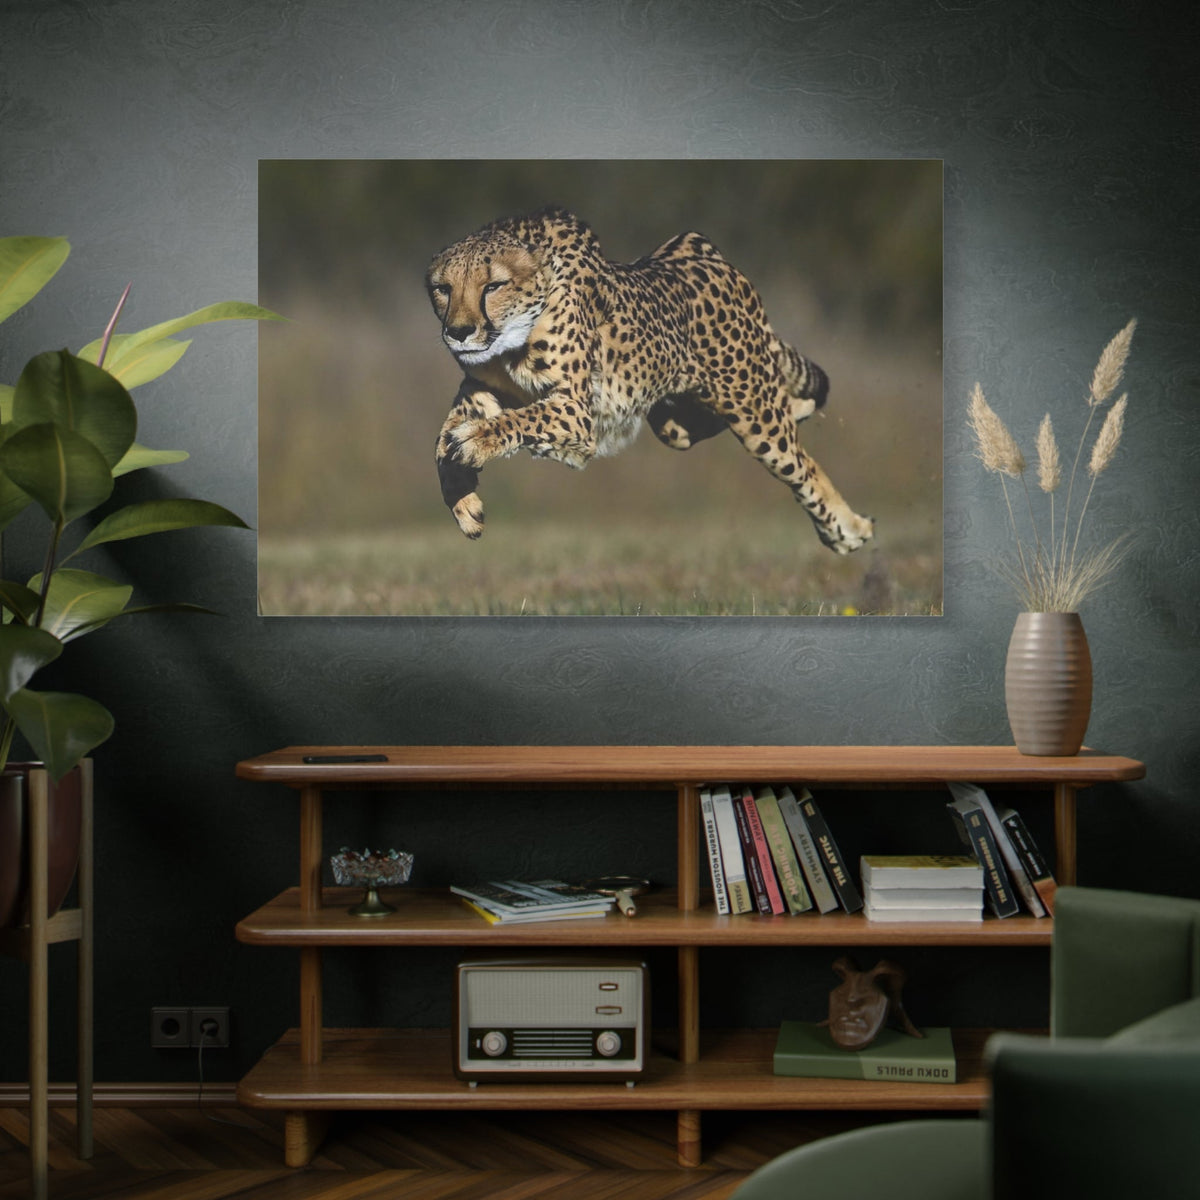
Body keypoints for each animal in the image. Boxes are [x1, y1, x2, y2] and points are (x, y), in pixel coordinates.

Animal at [425, 205, 874, 554]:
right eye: (443, 289)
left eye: (493, 286)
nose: (459, 332)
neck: (510, 340)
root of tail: (702, 249)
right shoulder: (481, 388)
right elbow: (442, 441)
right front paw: (463, 501)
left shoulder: (576, 411)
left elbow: (514, 421)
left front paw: (475, 442)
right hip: (674, 422)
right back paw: (801, 408)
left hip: (753, 413)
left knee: (802, 464)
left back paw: (849, 529)